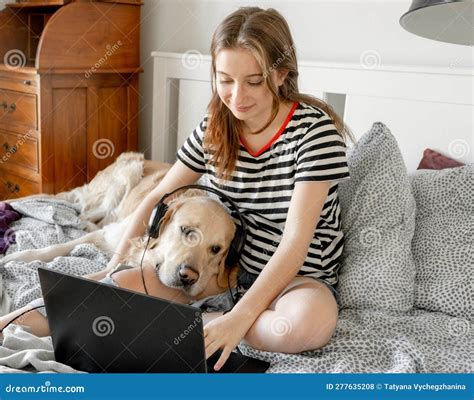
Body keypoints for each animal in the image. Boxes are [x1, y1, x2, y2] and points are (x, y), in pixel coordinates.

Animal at [1, 153, 241, 304]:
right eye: (186, 230)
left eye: (216, 249)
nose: (188, 277)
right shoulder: (107, 235)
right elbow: (50, 249)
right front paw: (13, 258)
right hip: (126, 175)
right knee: (85, 213)